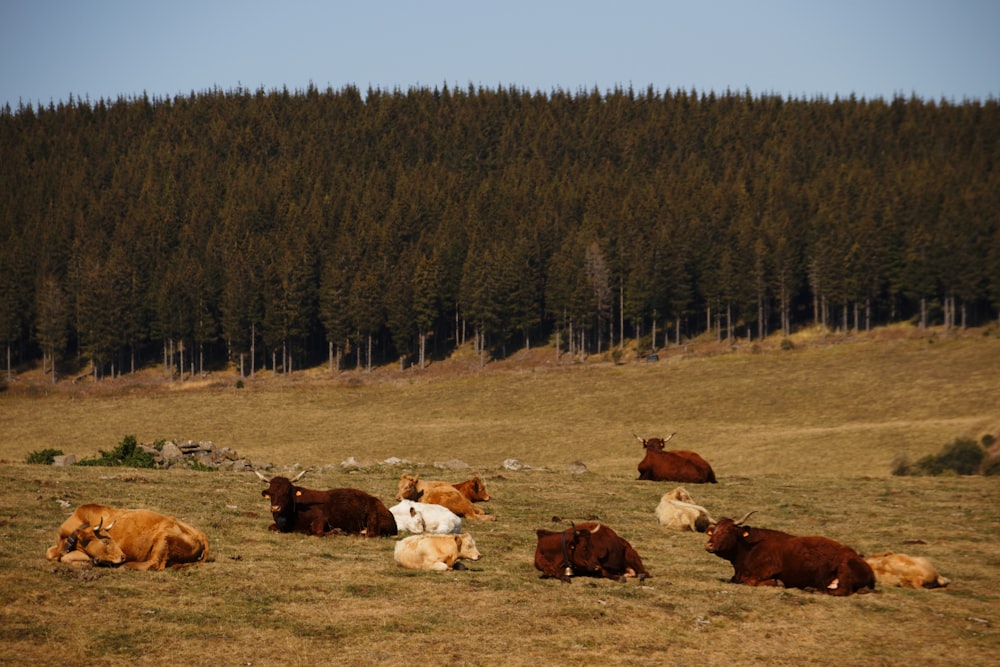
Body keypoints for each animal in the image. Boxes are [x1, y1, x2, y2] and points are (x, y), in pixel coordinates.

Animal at [48, 504, 211, 572]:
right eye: (105, 540)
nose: (123, 557)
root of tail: (198, 532)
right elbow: (49, 553)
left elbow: (67, 558)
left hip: (163, 539)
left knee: (153, 564)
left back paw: (126, 566)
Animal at [256, 470, 396, 536]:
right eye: (271, 493)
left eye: (286, 492)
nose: (275, 508)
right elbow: (271, 527)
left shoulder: (321, 519)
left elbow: (317, 532)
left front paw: (336, 531)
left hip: (373, 518)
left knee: (371, 534)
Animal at [704, 516, 876, 596]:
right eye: (714, 531)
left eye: (728, 530)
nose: (709, 545)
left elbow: (752, 581)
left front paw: (777, 583)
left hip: (844, 570)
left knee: (843, 590)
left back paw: (814, 590)